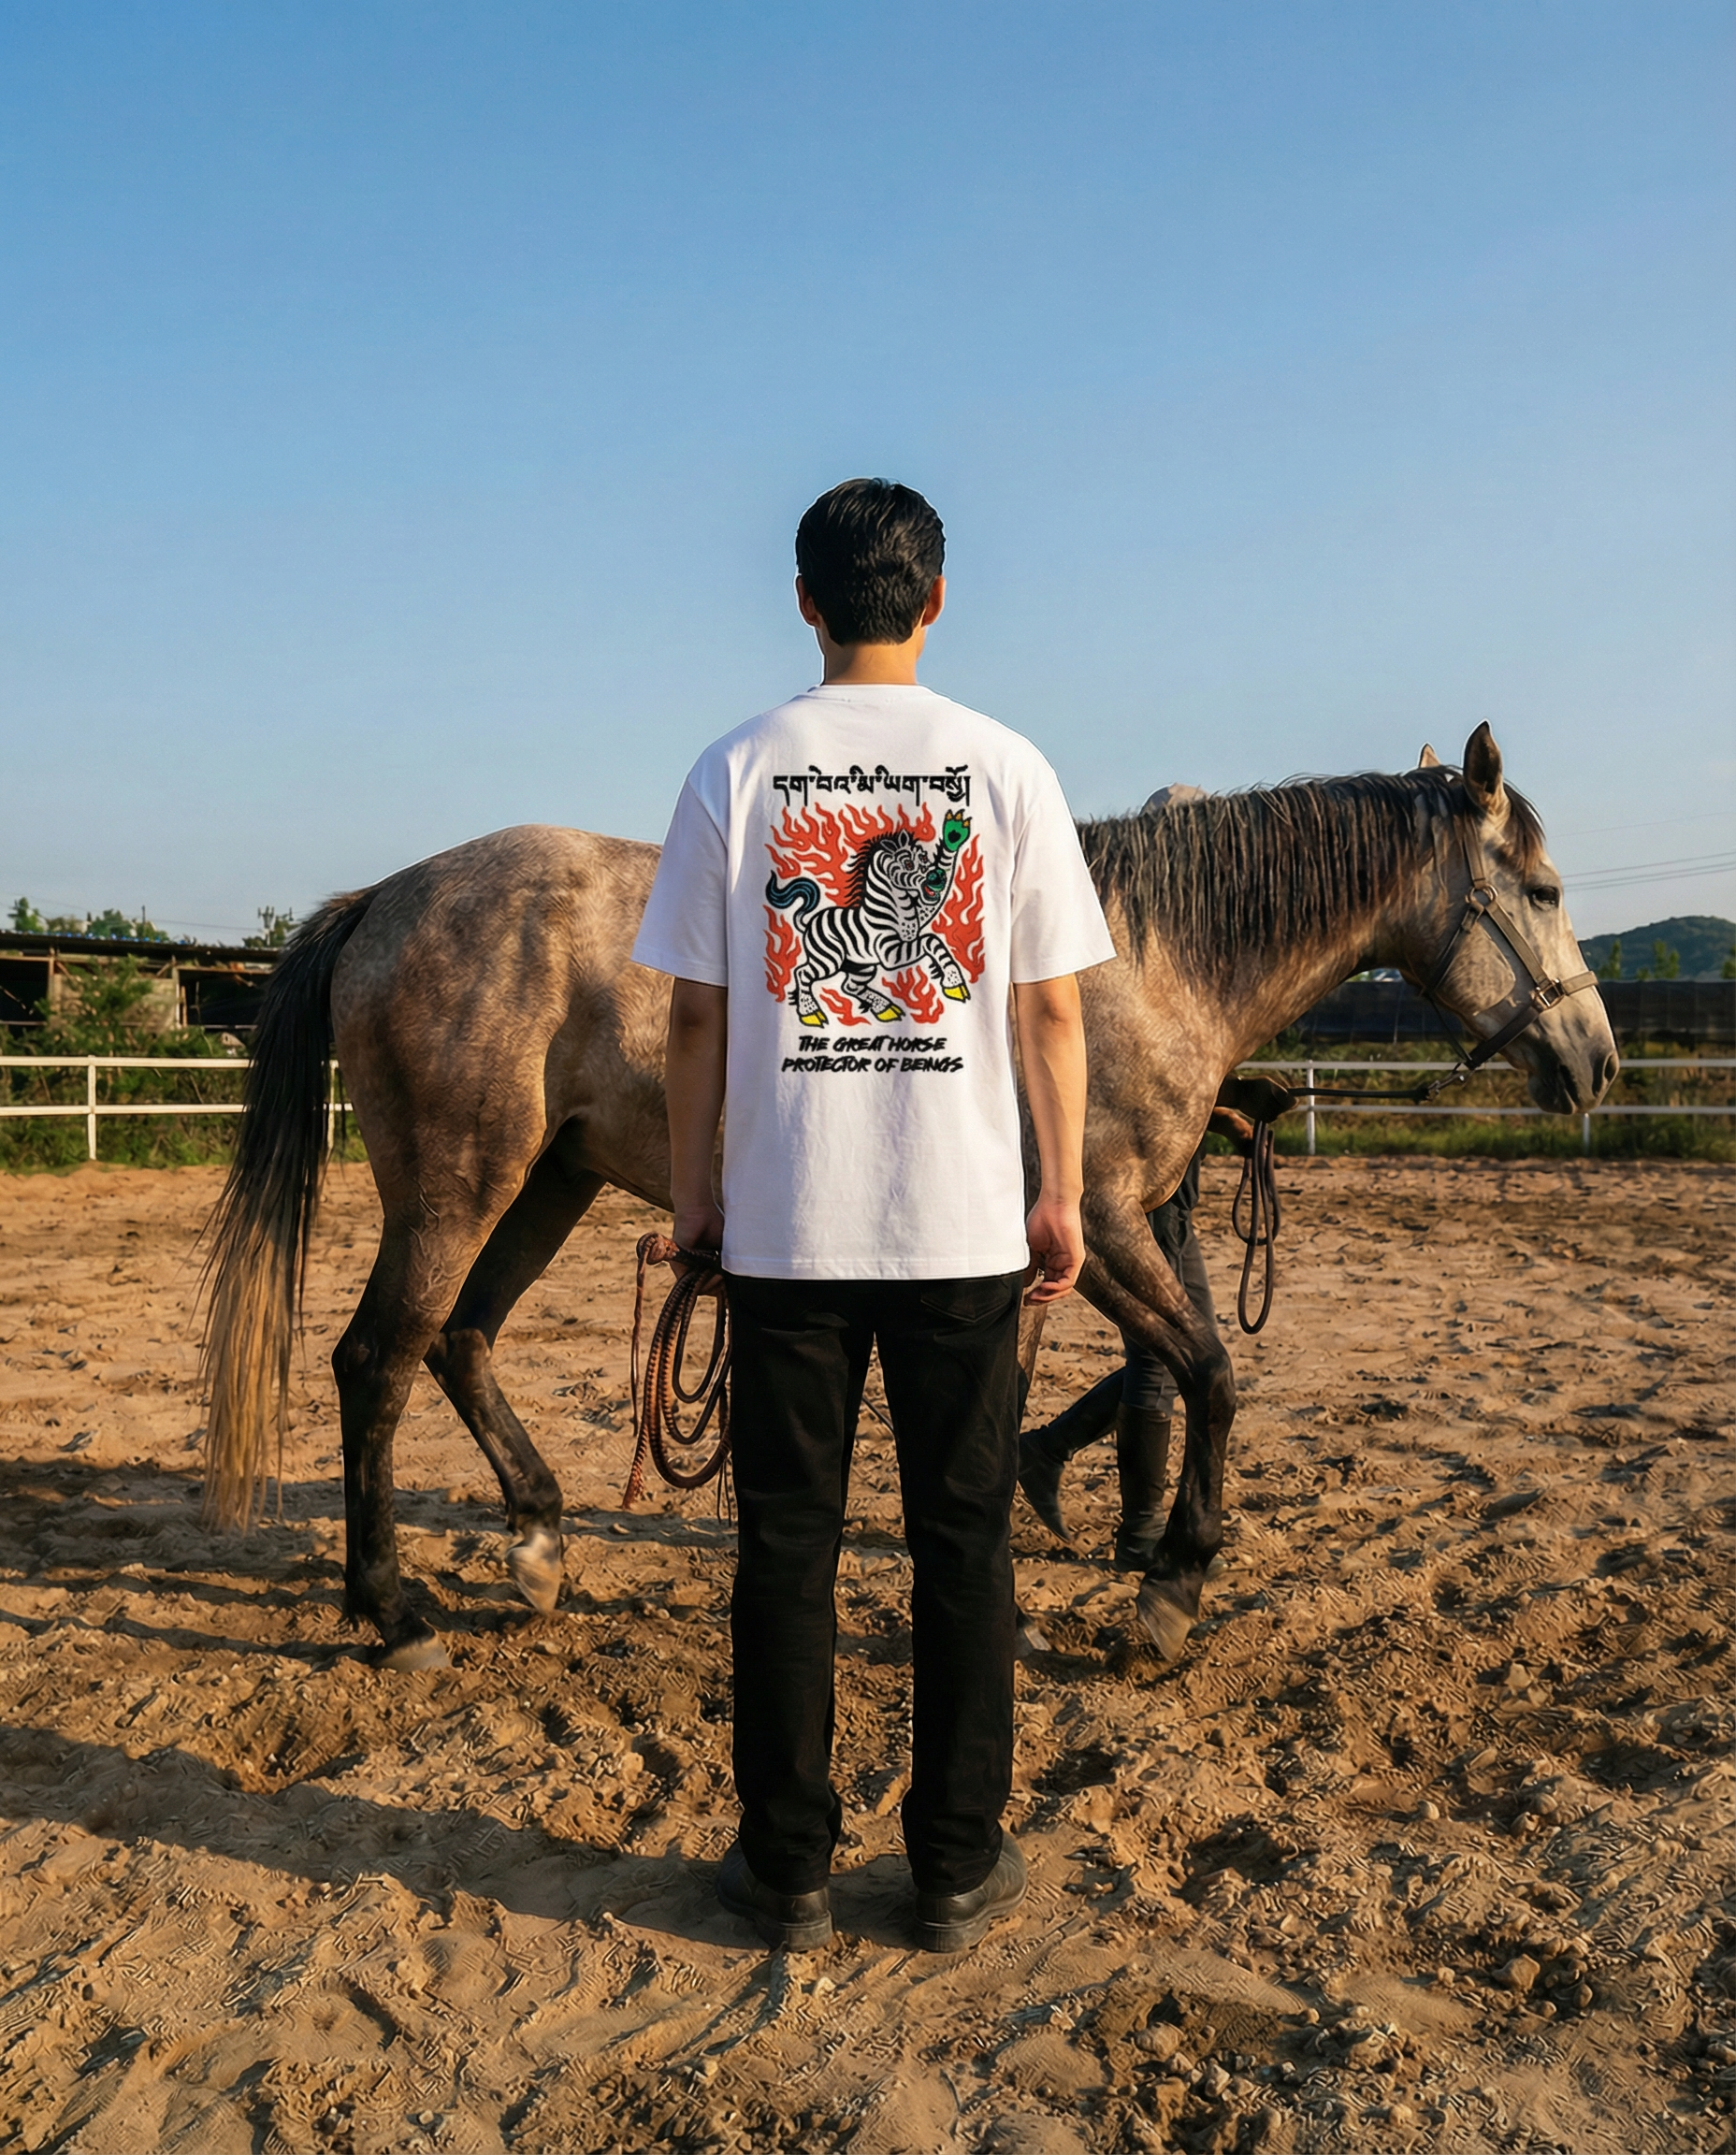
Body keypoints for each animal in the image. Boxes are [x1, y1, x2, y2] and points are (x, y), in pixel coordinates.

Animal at [200, 722, 1616, 1668]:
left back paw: (540, 1546)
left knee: (461, 1343)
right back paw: (392, 1616)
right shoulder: (1107, 1225)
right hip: (458, 1188)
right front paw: (1168, 1594)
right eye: (1544, 890)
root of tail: (385, 900)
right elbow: (1211, 1374)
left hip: (548, 1181)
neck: (1134, 960)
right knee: (378, 1362)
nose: (1595, 1061)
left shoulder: (1042, 1251)